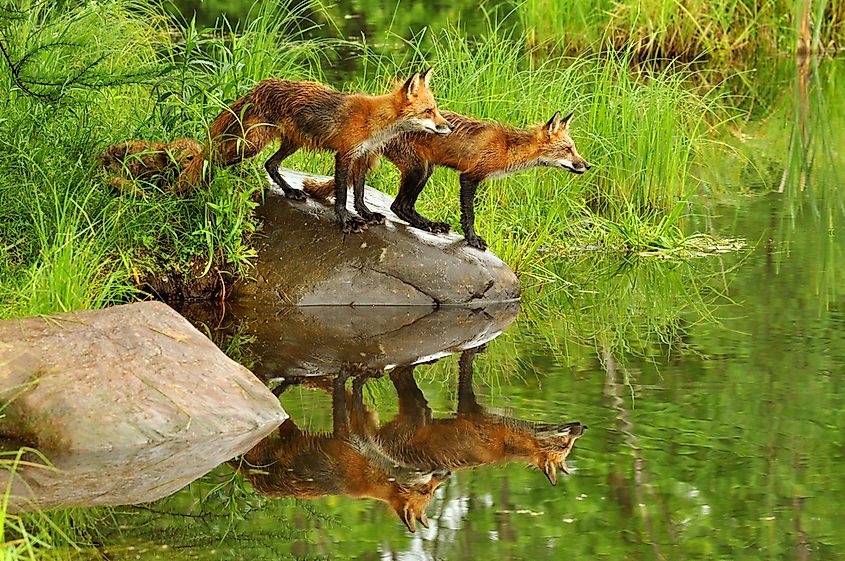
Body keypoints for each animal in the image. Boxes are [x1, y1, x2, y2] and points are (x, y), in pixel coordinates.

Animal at [183, 68, 451, 232]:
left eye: (436, 109)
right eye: (429, 111)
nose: (448, 127)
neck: (375, 123)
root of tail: (261, 86)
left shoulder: (362, 156)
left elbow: (360, 193)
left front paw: (366, 214)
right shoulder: (344, 154)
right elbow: (343, 194)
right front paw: (346, 220)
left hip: (293, 143)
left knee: (270, 164)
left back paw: (290, 191)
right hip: (253, 144)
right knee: (214, 159)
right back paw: (200, 185)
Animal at [239, 370, 450, 533]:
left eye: (433, 490)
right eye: (425, 490)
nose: (447, 473)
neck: (371, 469)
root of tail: (252, 479)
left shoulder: (360, 433)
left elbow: (352, 398)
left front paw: (357, 378)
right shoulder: (345, 436)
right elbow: (343, 393)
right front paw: (347, 375)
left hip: (291, 435)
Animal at [304, 109, 590, 249]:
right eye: (567, 150)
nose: (587, 165)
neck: (508, 148)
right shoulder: (470, 176)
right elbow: (469, 214)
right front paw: (472, 240)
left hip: (420, 170)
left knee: (385, 199)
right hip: (420, 169)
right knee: (399, 206)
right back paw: (429, 225)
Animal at [376, 346, 586, 486]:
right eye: (564, 445)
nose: (582, 428)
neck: (505, 441)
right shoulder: (469, 408)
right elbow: (467, 366)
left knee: (399, 373)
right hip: (419, 415)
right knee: (396, 374)